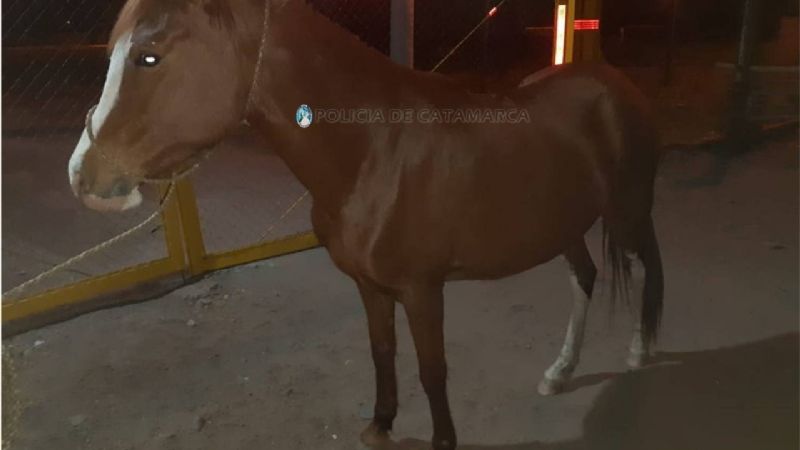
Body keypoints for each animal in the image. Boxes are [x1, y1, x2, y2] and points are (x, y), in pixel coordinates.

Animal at [67, 0, 664, 448]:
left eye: (149, 56)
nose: (83, 175)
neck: (374, 152)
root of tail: (613, 80)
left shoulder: (423, 290)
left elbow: (433, 370)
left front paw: (441, 440)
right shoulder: (370, 285)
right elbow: (382, 352)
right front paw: (380, 424)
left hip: (630, 210)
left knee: (649, 268)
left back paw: (640, 352)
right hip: (566, 223)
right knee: (585, 276)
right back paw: (560, 371)